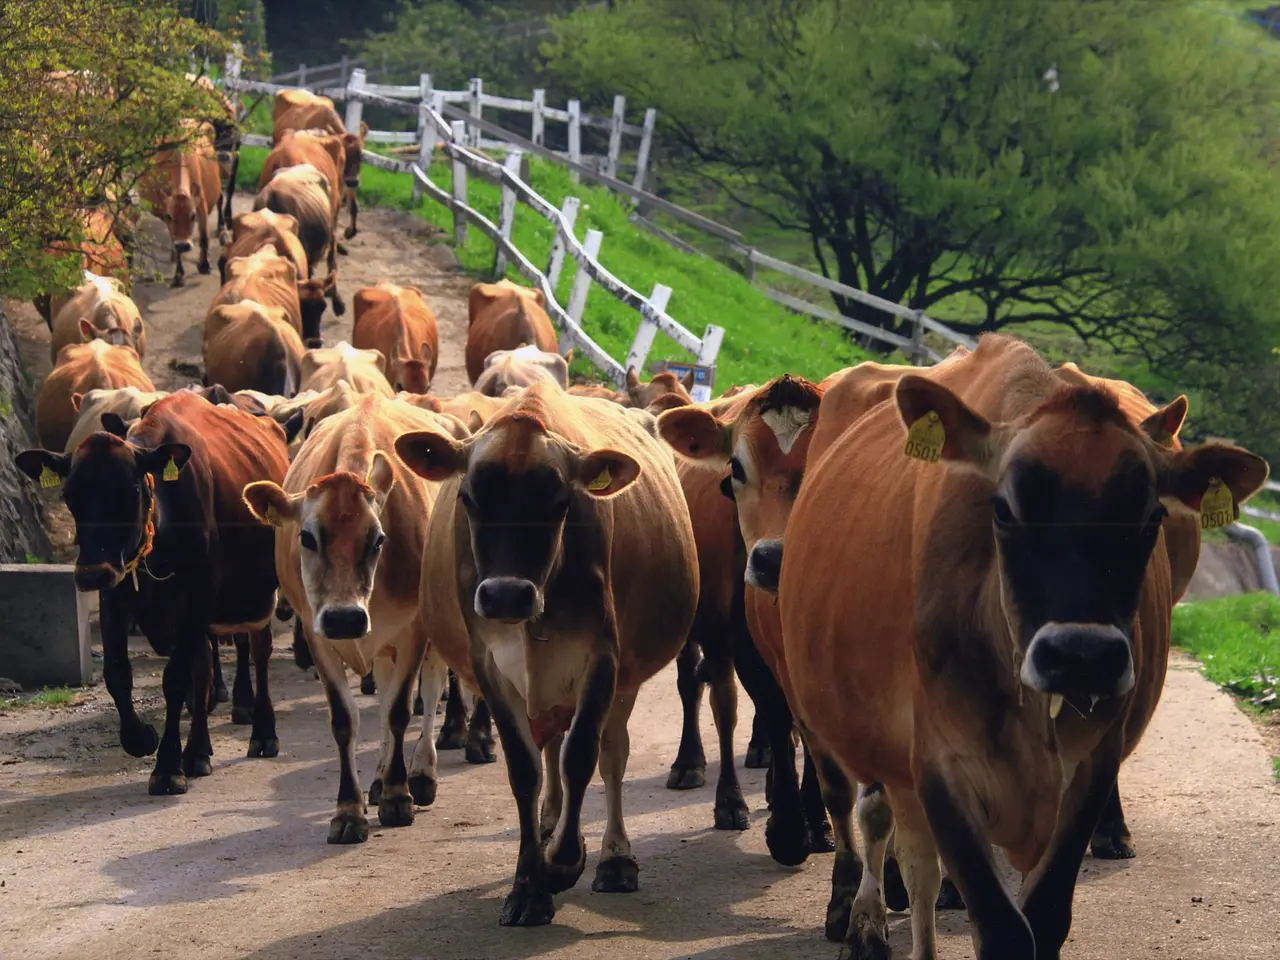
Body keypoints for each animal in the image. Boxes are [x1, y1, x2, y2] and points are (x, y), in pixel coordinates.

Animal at [14, 391, 290, 798]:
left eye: (131, 490)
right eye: (69, 494)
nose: (92, 572)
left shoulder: (198, 595)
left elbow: (175, 680)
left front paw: (167, 767)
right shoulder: (116, 597)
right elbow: (118, 674)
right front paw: (141, 738)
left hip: (259, 592)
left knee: (259, 651)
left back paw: (263, 734)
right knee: (204, 669)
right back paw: (199, 751)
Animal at [240, 394, 460, 844]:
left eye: (378, 539)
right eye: (306, 537)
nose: (345, 618)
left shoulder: (413, 630)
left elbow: (400, 710)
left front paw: (398, 796)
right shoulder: (318, 634)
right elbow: (346, 719)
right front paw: (349, 811)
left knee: (428, 692)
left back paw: (421, 773)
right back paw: (376, 779)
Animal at [396, 384, 701, 931]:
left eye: (560, 501)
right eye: (469, 498)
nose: (505, 595)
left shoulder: (603, 658)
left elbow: (582, 755)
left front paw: (564, 862)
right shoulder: (488, 665)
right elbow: (525, 769)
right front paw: (528, 885)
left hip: (625, 677)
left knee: (610, 754)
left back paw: (612, 857)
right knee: (549, 751)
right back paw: (550, 821)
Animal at [773, 335, 1264, 957]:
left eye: (1152, 515)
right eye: (1003, 509)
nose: (1081, 656)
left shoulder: (1090, 766)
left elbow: (1046, 916)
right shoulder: (938, 764)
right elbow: (999, 925)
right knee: (911, 860)